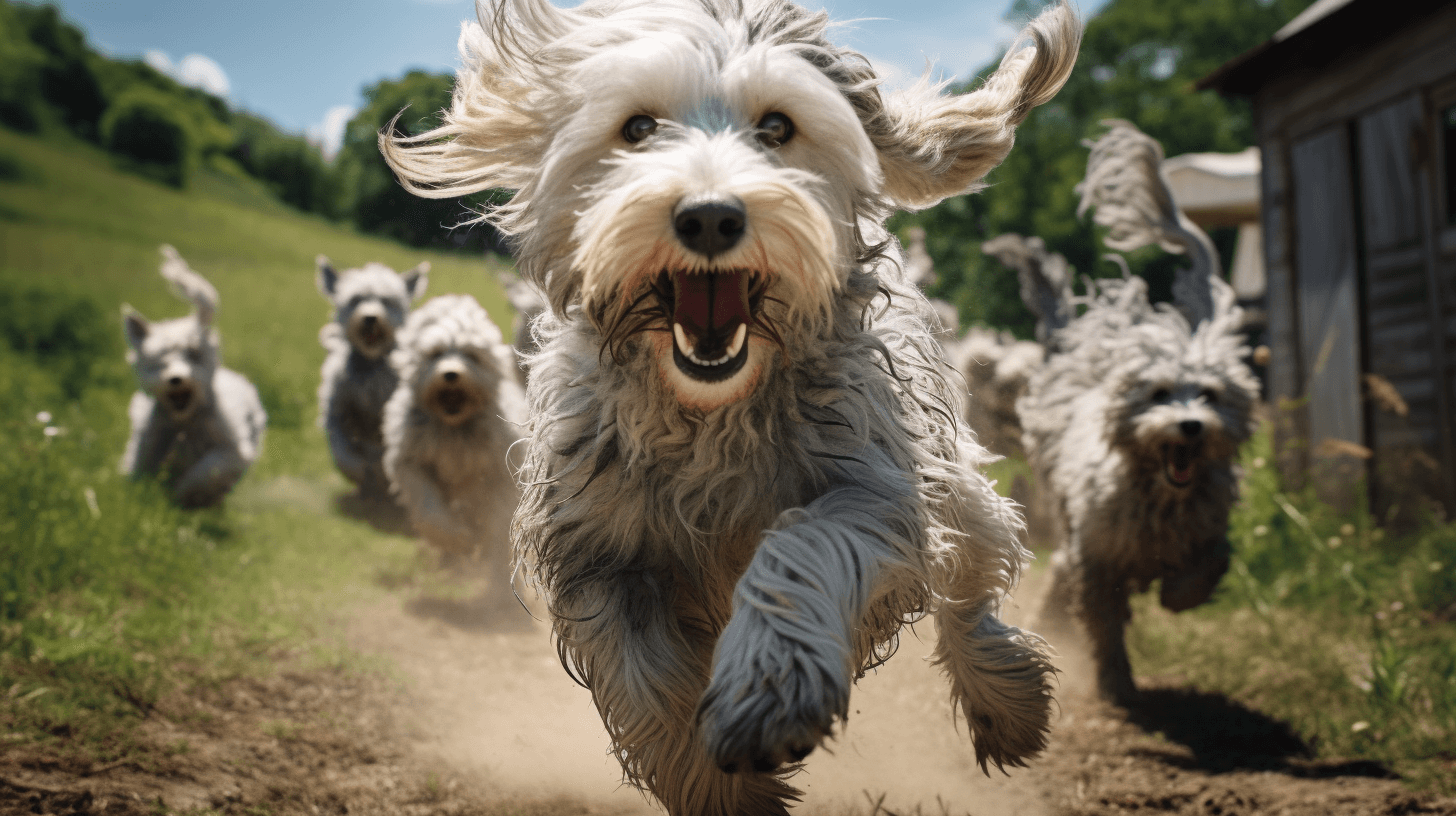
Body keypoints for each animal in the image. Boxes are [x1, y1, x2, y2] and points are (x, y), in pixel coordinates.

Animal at [120, 244, 266, 507]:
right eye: (159, 362)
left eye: (193, 354)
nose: (176, 379)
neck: (184, 422)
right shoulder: (147, 444)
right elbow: (137, 471)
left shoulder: (231, 452)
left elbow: (203, 473)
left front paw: (180, 494)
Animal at [317, 256, 425, 498]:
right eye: (356, 299)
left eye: (386, 301)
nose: (370, 318)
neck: (370, 364)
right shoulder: (336, 409)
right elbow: (341, 449)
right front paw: (356, 470)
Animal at [384, 295, 527, 588]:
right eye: (435, 353)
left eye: (471, 355)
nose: (451, 374)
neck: (454, 429)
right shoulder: (411, 463)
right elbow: (431, 512)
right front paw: (459, 539)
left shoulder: (499, 474)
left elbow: (498, 525)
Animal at [1025, 120, 1263, 702]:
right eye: (1158, 393)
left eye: (1210, 395)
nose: (1190, 425)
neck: (1159, 496)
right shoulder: (1096, 555)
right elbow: (1104, 621)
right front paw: (1115, 682)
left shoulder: (1206, 529)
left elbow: (1208, 565)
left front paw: (1176, 594)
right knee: (1062, 572)